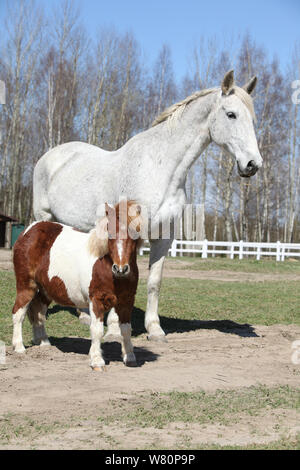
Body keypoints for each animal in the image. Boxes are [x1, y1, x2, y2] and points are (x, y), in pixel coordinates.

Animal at [11, 200, 143, 370]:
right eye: (109, 234)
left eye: (134, 234)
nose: (121, 268)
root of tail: (28, 231)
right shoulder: (97, 300)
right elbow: (97, 330)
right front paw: (96, 361)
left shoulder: (126, 301)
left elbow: (126, 329)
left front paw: (130, 357)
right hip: (26, 286)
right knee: (18, 313)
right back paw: (19, 347)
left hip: (46, 291)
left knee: (38, 312)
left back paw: (44, 342)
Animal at [32, 70, 262, 342]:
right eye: (231, 114)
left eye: (252, 118)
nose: (253, 164)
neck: (160, 168)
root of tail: (50, 156)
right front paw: (114, 331)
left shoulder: (163, 237)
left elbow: (154, 282)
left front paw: (154, 329)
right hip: (43, 216)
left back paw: (84, 315)